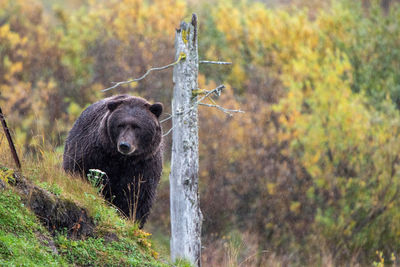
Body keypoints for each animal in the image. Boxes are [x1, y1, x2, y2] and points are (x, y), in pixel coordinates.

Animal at [62, 94, 162, 228]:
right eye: (120, 125)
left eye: (137, 127)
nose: (124, 145)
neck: (122, 159)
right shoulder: (95, 154)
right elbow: (80, 171)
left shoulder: (144, 166)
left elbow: (137, 196)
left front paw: (132, 218)